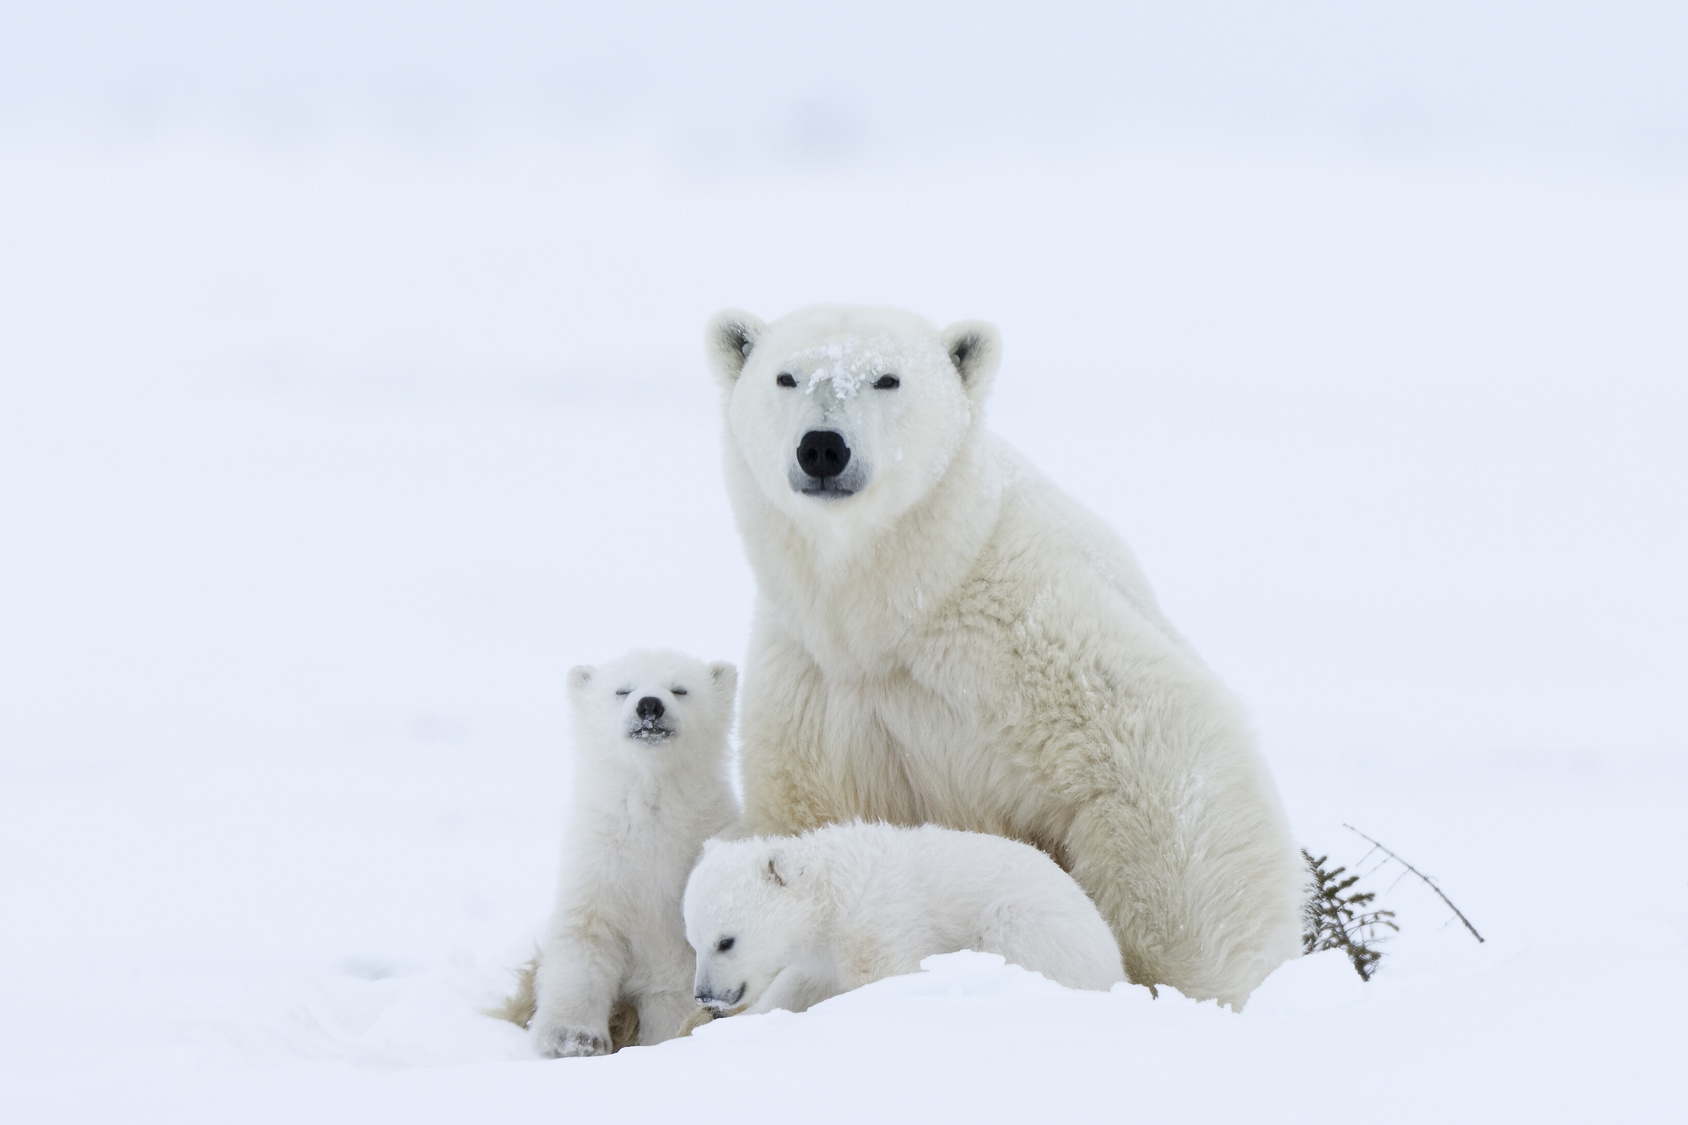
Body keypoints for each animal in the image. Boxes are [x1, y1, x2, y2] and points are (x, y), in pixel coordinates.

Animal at [526, 648, 739, 1054]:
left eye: (680, 689)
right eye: (622, 690)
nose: (650, 705)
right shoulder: (600, 860)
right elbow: (585, 938)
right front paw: (574, 1038)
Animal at [678, 814, 1127, 1006]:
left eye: (726, 941)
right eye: (693, 942)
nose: (705, 996)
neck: (832, 893)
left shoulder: (875, 925)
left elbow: (886, 978)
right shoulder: (821, 956)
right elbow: (796, 984)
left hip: (1037, 928)